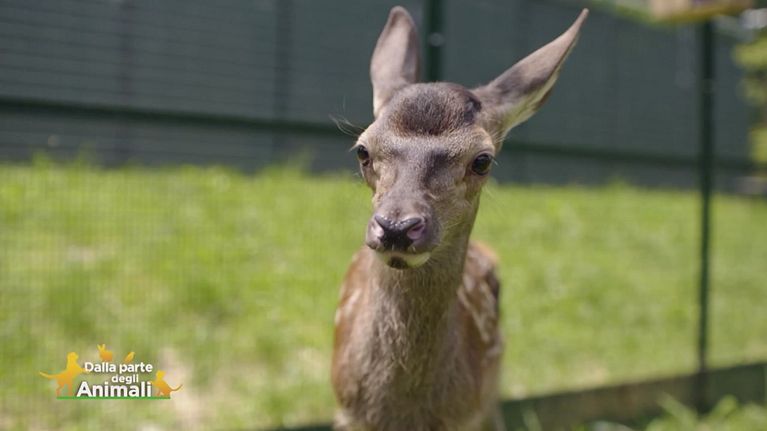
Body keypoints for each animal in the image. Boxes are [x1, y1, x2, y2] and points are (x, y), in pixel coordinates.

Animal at [331, 6, 587, 431]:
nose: (397, 227)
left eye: (482, 160)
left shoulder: (468, 412)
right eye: (362, 151)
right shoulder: (348, 413)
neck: (405, 413)